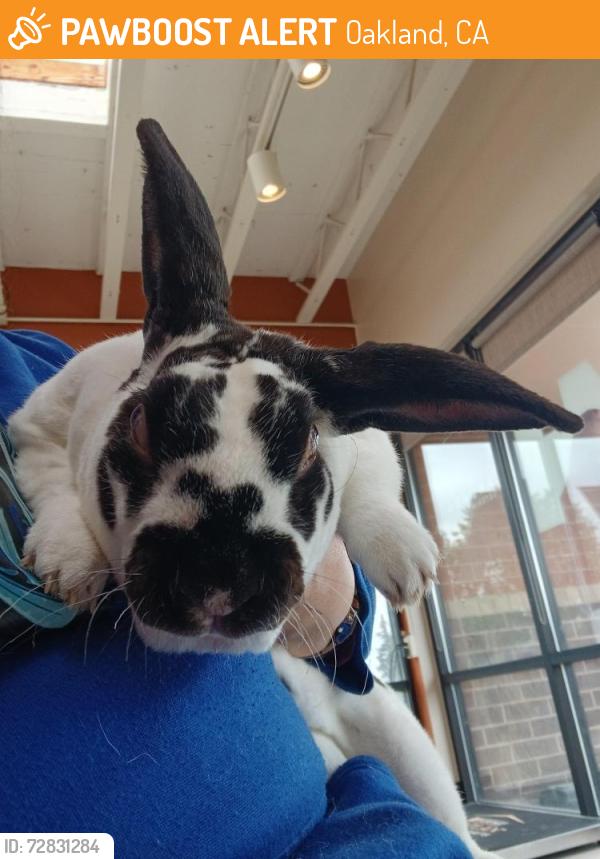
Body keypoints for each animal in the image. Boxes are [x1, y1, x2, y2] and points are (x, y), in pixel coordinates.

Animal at [8, 119, 581, 859]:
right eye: (140, 423)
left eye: (309, 443)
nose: (218, 579)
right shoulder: (37, 427)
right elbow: (52, 483)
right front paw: (67, 565)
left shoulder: (369, 446)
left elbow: (372, 492)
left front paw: (407, 564)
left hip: (402, 738)